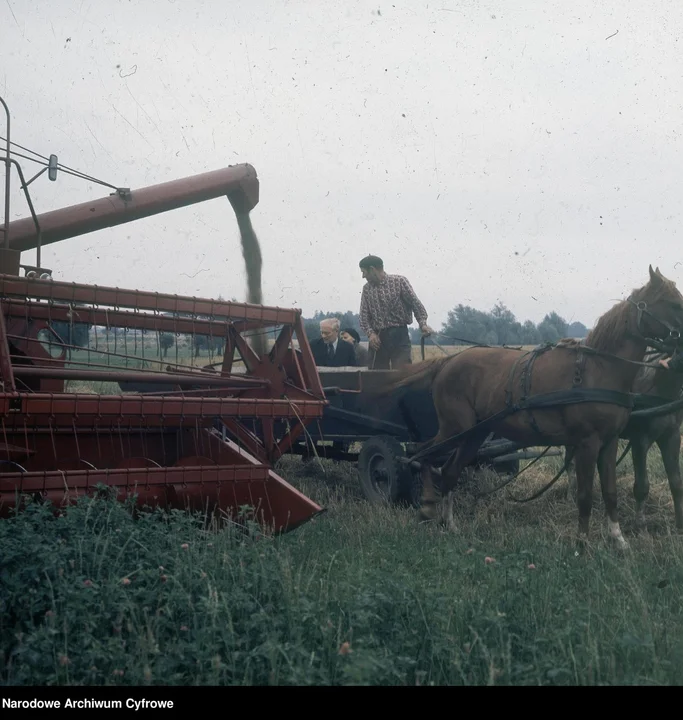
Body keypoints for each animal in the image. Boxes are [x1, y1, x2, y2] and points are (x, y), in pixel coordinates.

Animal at [568, 352, 683, 532]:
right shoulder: (640, 440)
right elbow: (642, 486)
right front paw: (640, 525)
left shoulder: (672, 436)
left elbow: (676, 483)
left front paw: (679, 525)